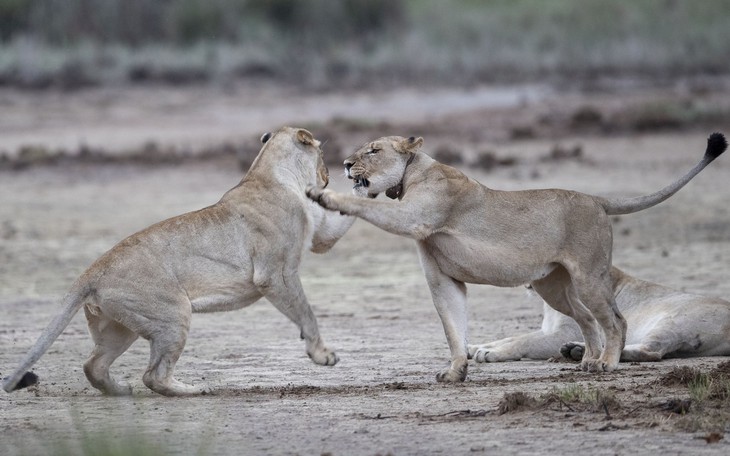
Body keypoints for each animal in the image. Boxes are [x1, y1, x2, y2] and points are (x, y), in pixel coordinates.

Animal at [2, 125, 356, 396]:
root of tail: (91, 271)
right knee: (152, 375)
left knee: (93, 365)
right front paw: (322, 355)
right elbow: (305, 311)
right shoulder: (275, 274)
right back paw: (192, 389)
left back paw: (121, 391)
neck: (269, 173)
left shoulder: (321, 236)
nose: (329, 174)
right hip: (173, 314)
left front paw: (360, 184)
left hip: (120, 326)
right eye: (321, 154)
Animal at [466, 266, 728, 362]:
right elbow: (511, 336)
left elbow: (523, 341)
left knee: (650, 351)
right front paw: (474, 347)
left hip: (671, 322)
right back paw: (576, 350)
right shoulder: (549, 330)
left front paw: (490, 353)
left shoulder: (562, 333)